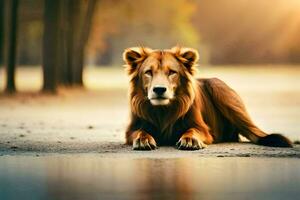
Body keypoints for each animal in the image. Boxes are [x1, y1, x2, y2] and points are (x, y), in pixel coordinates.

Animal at [122, 46, 292, 150]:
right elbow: (140, 132)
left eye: (172, 72)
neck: (163, 110)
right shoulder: (131, 130)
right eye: (148, 72)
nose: (159, 89)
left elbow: (191, 130)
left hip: (218, 87)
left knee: (254, 133)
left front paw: (189, 140)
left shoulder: (203, 129)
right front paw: (143, 140)